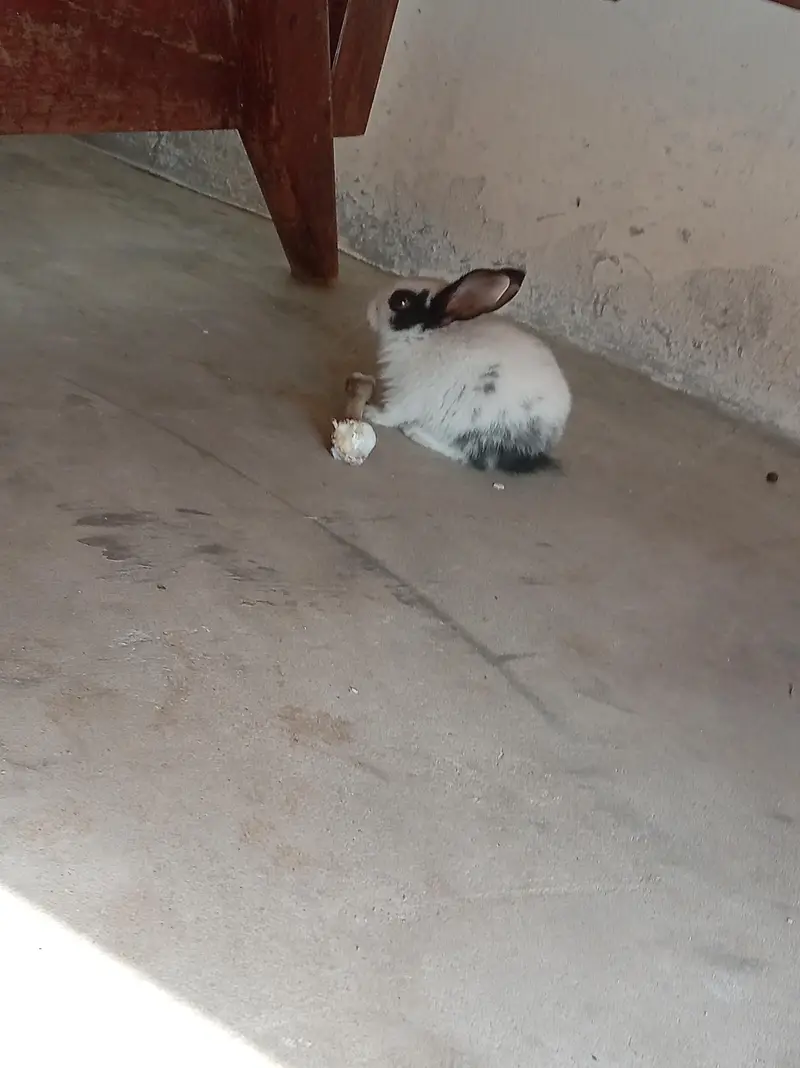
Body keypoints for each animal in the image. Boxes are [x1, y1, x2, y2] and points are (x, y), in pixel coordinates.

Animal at [364, 267, 571, 473]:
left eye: (402, 302)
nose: (370, 308)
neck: (426, 336)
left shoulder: (409, 394)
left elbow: (393, 414)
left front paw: (371, 413)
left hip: (476, 430)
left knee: (470, 458)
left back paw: (415, 432)